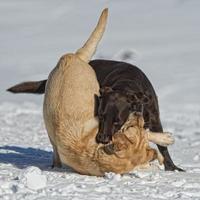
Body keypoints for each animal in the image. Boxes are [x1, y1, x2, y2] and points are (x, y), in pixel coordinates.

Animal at [7, 58, 183, 171]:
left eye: (117, 121)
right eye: (101, 116)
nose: (102, 139)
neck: (126, 85)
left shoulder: (153, 118)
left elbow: (162, 147)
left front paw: (172, 167)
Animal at [43, 8, 173, 176]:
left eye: (117, 121)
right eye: (101, 116)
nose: (102, 139)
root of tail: (70, 57)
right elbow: (146, 135)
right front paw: (165, 139)